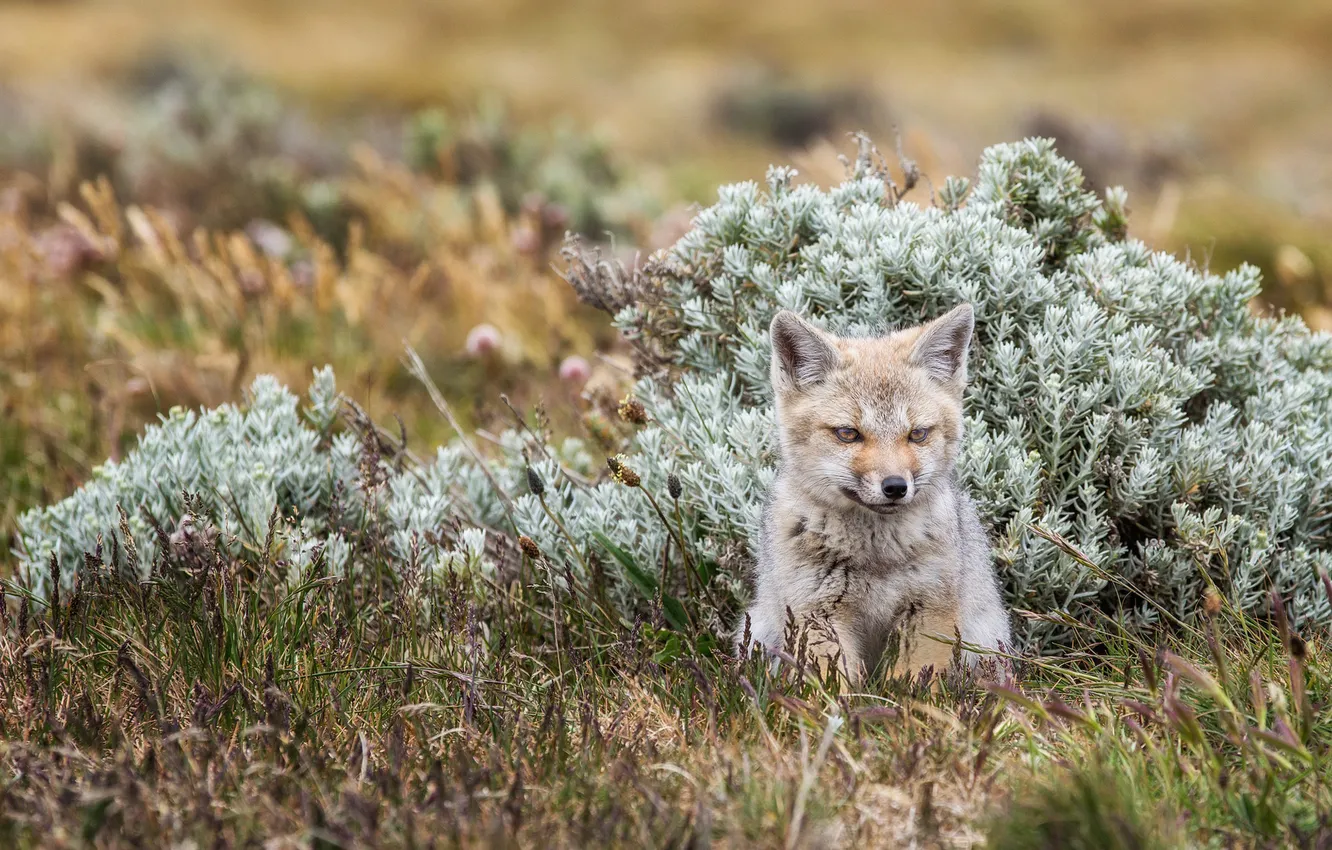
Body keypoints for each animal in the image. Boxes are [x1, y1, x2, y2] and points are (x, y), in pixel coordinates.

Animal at [740, 303, 1010, 684]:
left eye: (917, 434)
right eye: (848, 434)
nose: (895, 486)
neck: (876, 557)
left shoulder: (928, 611)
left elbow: (915, 687)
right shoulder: (818, 613)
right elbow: (833, 689)